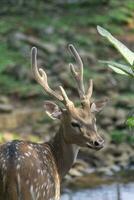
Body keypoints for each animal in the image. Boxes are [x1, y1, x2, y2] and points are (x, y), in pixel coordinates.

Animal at [0, 44, 107, 199]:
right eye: (74, 123)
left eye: (94, 119)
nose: (98, 142)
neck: (58, 166)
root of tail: (10, 167)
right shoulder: (54, 195)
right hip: (37, 191)